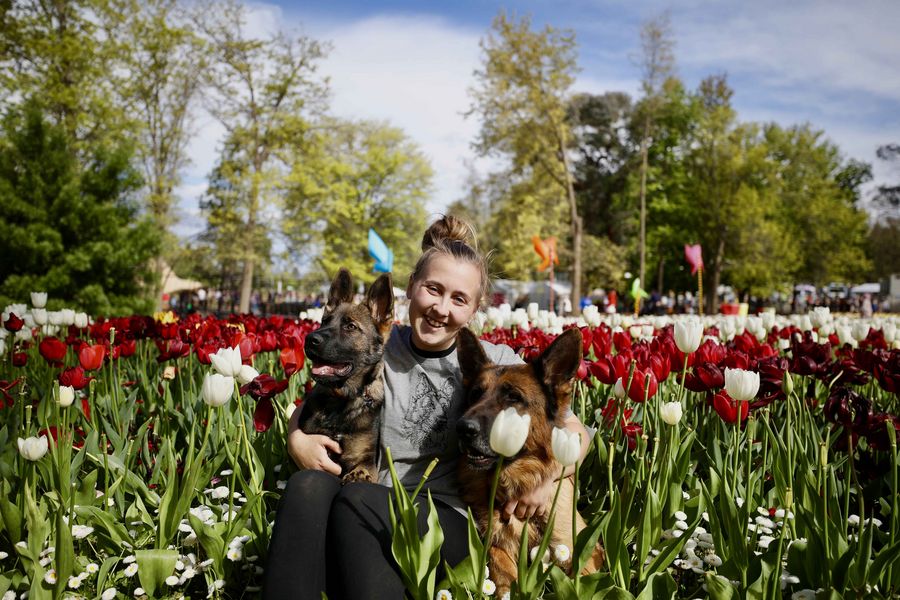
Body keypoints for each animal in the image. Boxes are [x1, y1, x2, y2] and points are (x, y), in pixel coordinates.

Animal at [298, 268, 393, 483]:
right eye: (324, 322)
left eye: (350, 326)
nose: (309, 339)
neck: (340, 402)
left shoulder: (366, 460)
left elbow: (361, 471)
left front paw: (357, 476)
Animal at [456, 327, 605, 593]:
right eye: (475, 394)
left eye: (513, 398)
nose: (463, 428)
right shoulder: (492, 543)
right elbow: (501, 565)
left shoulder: (583, 548)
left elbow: (585, 578)